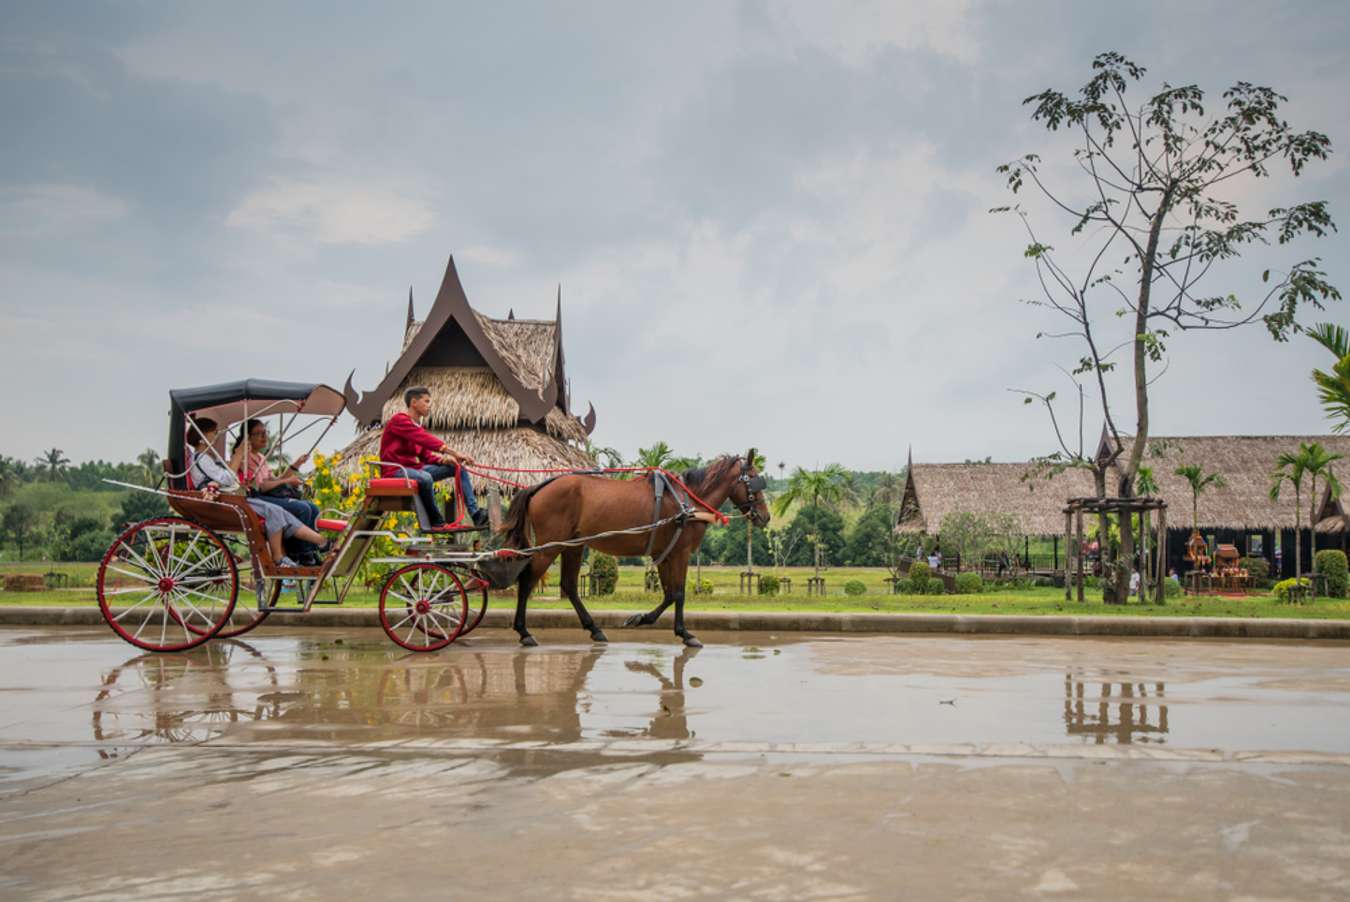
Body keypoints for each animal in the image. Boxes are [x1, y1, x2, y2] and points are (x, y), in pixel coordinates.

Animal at [496, 448, 772, 645]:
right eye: (754, 480)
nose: (765, 516)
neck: (687, 501)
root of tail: (540, 487)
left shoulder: (665, 554)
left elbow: (669, 594)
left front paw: (641, 619)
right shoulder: (680, 553)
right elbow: (679, 593)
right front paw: (685, 634)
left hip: (572, 544)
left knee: (569, 585)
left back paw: (594, 629)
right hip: (549, 546)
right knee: (528, 581)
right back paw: (524, 632)